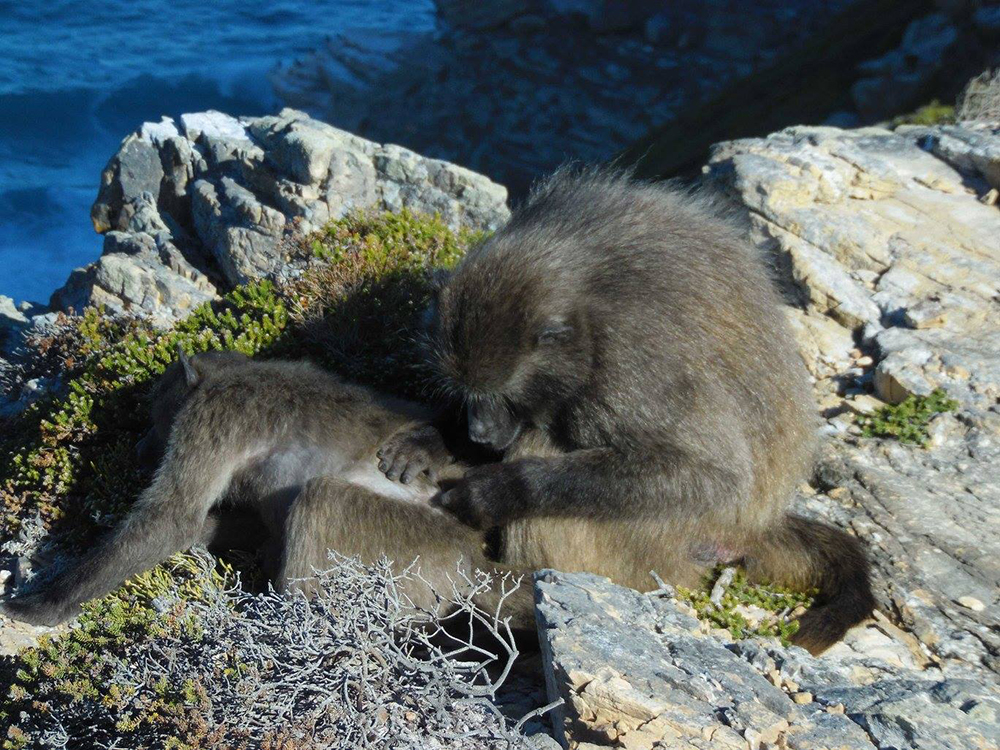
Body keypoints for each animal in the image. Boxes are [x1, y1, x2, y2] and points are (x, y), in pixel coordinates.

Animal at [0, 349, 532, 628]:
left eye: (156, 413)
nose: (139, 448)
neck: (235, 372)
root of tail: (475, 557)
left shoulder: (215, 412)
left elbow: (171, 517)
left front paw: (36, 606)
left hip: (415, 548)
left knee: (321, 501)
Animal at [383, 169, 875, 654]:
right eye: (466, 392)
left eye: (505, 395)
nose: (480, 434)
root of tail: (755, 526)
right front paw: (429, 440)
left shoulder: (636, 360)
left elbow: (712, 475)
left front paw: (492, 492)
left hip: (660, 544)